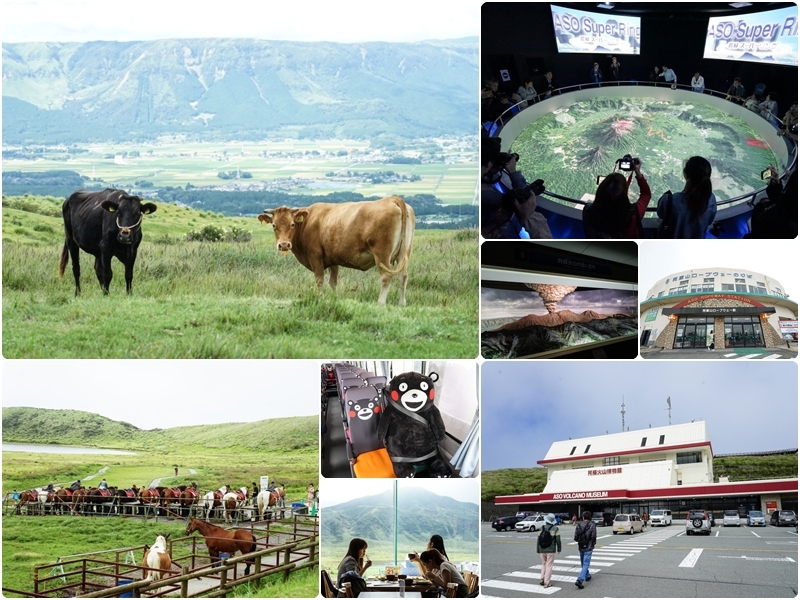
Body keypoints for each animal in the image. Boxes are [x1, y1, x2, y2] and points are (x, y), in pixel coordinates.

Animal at [260, 197, 416, 304]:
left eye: (292, 224)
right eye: (274, 225)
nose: (284, 245)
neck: (308, 221)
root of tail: (391, 199)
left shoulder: (315, 256)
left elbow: (320, 280)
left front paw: (321, 298)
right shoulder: (332, 259)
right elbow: (333, 282)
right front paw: (335, 299)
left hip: (382, 254)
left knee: (386, 277)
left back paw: (381, 303)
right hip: (404, 254)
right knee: (403, 276)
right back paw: (402, 304)